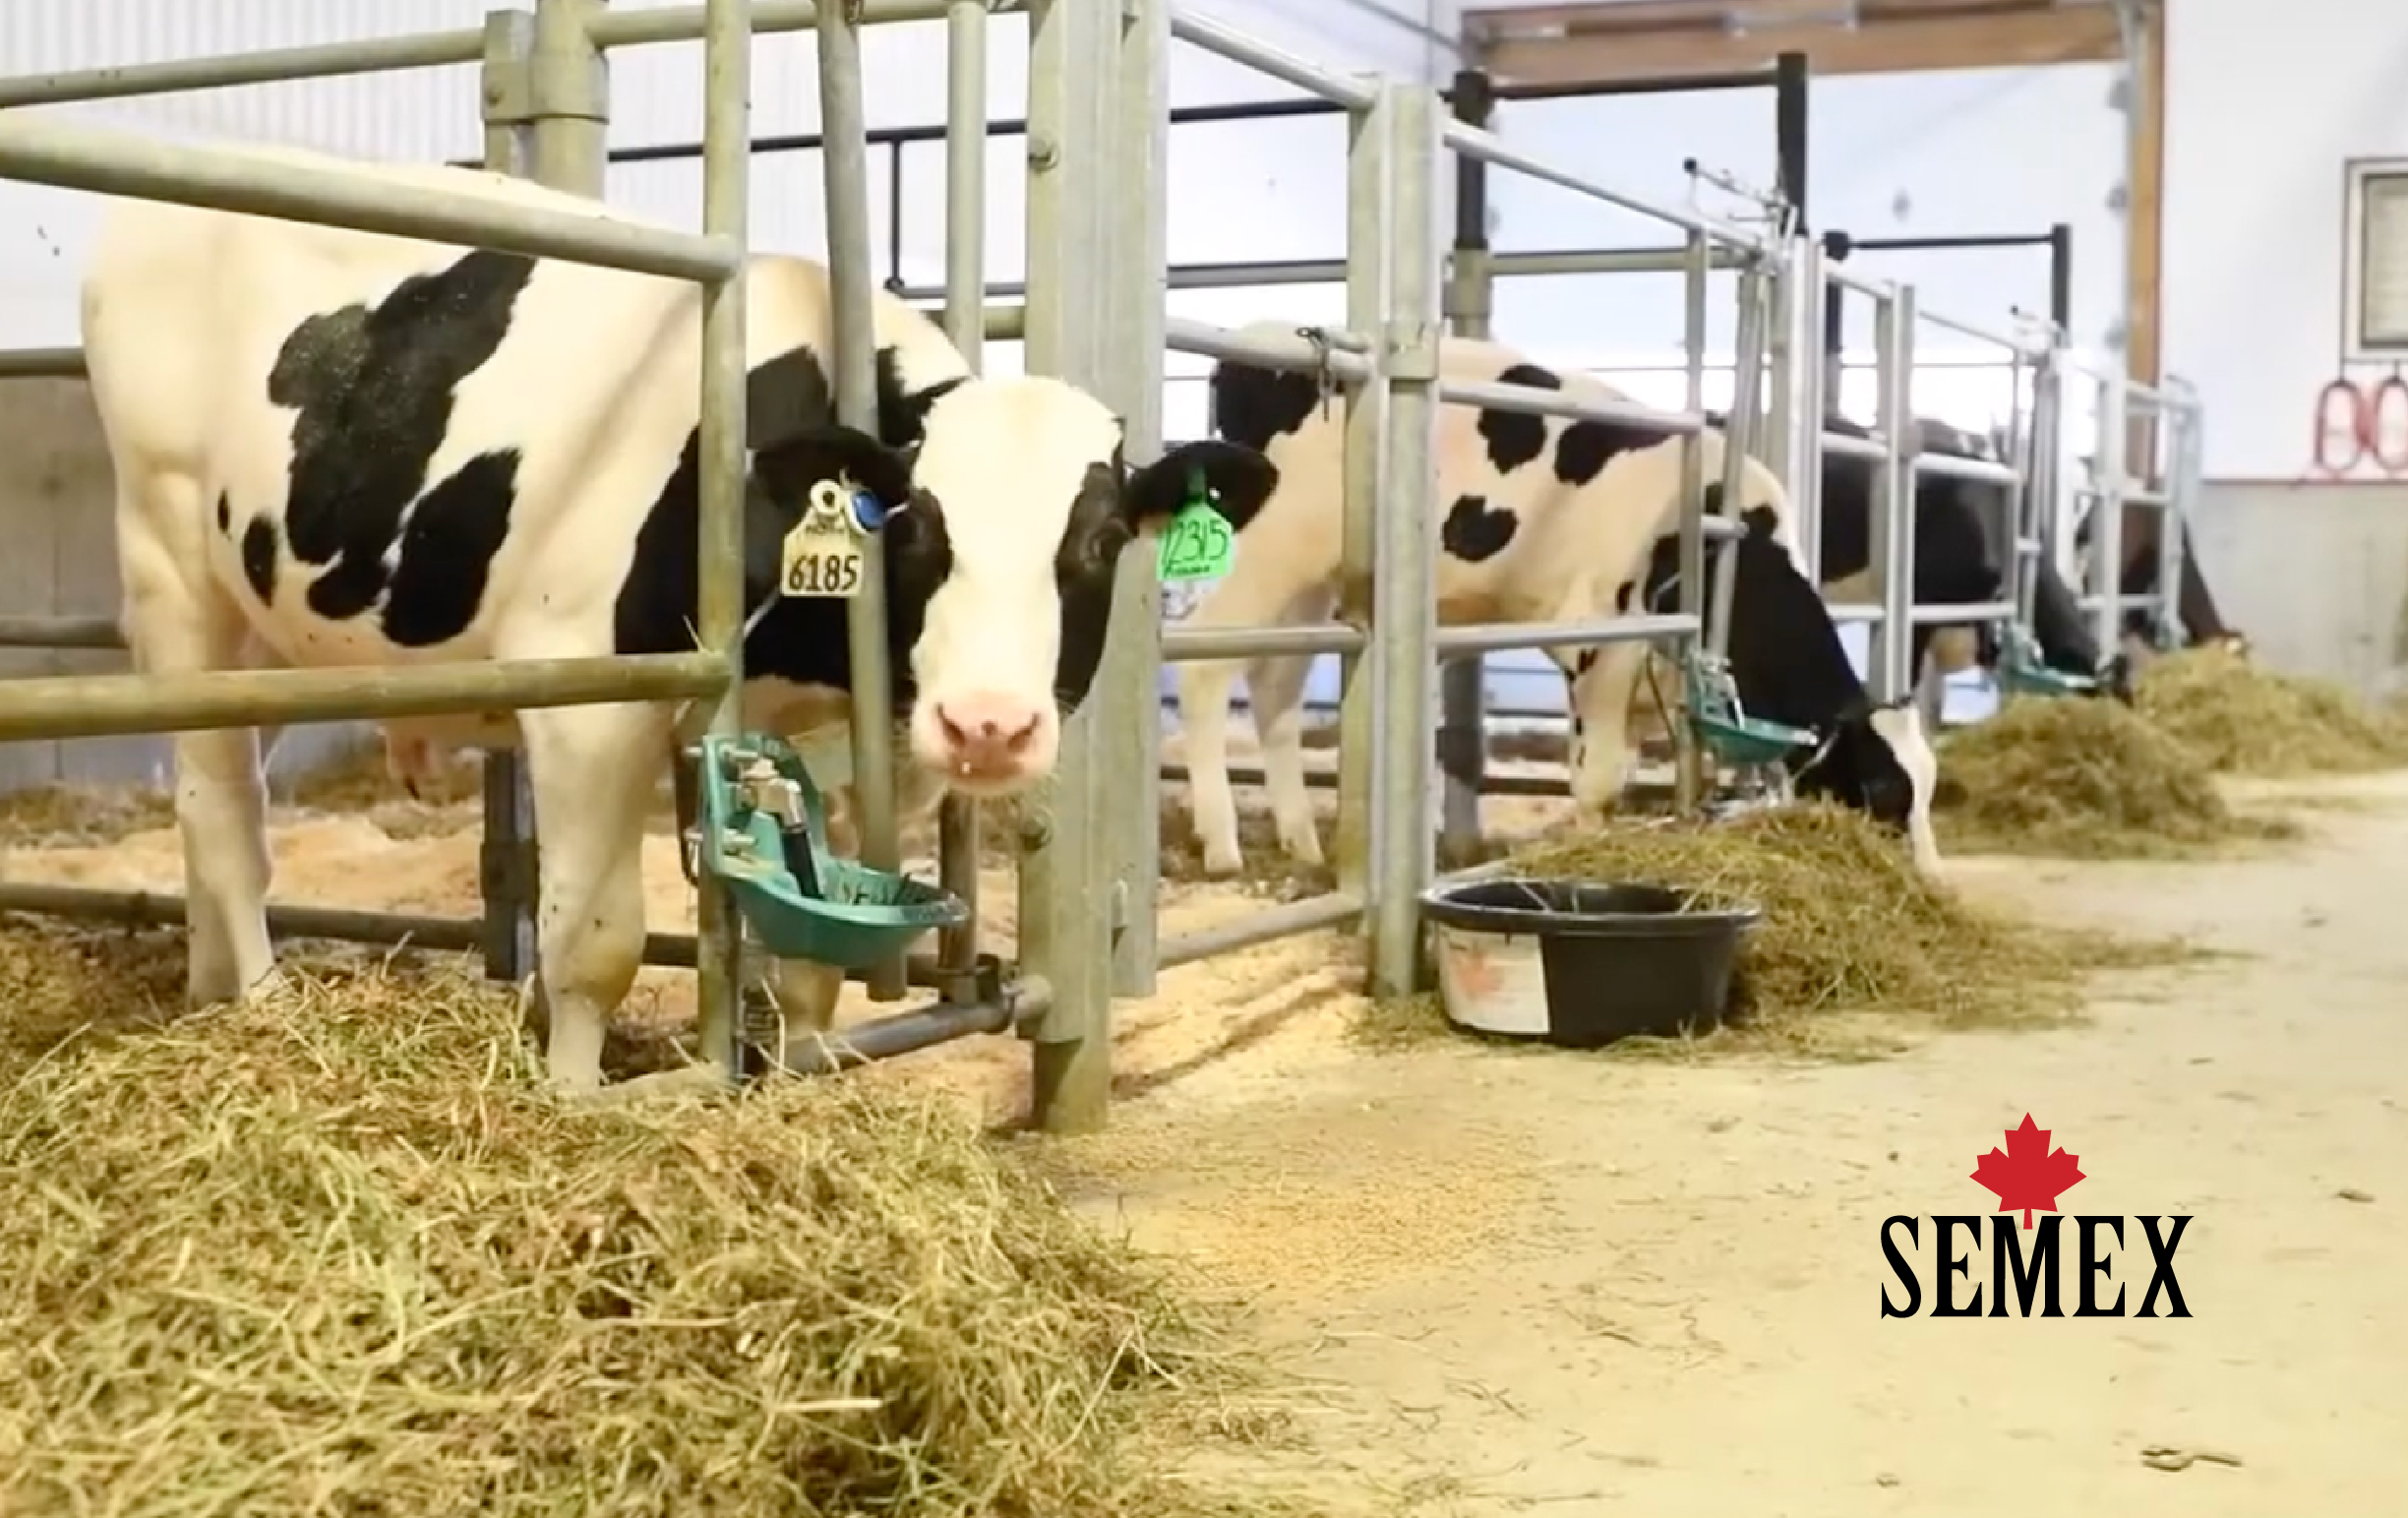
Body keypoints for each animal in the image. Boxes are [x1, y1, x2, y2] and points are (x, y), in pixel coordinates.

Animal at [79, 144, 1265, 1093]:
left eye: (1101, 541)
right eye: (918, 526)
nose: (988, 727)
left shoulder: (831, 737)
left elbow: (815, 959)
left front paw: (795, 1086)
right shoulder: (585, 695)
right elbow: (591, 943)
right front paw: (571, 1097)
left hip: (270, 635)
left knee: (217, 795)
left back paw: (208, 991)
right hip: (170, 563)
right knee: (220, 812)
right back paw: (262, 1007)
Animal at [1172, 321, 1940, 882]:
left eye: (1927, 787)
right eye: (1880, 788)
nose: (1931, 879)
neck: (1721, 536)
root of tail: (1259, 340)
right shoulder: (1603, 638)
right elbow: (1598, 778)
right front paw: (1592, 853)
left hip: (1313, 579)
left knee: (1275, 684)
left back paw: (1301, 841)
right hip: (1266, 550)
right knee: (1206, 660)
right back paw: (1222, 843)